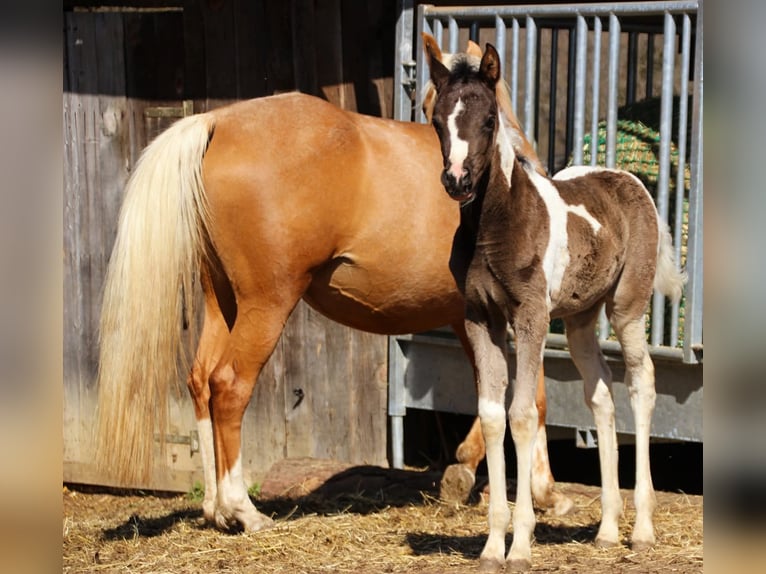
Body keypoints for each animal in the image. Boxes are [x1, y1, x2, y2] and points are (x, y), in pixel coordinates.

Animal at [93, 41, 571, 535]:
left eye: (485, 119)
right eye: (438, 118)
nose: (456, 181)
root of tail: (217, 123)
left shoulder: (469, 317)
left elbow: (495, 391)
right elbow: (532, 396)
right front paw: (542, 491)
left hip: (221, 301)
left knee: (201, 380)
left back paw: (214, 508)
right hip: (266, 304)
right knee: (229, 386)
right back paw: (243, 509)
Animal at [423, 42, 686, 571]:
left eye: (488, 120)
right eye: (438, 120)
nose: (457, 180)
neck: (496, 227)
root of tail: (631, 180)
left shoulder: (530, 317)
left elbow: (523, 414)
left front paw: (520, 546)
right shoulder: (480, 318)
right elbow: (491, 415)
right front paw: (491, 547)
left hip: (626, 307)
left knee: (641, 384)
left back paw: (642, 530)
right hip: (581, 319)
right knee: (600, 394)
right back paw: (607, 530)